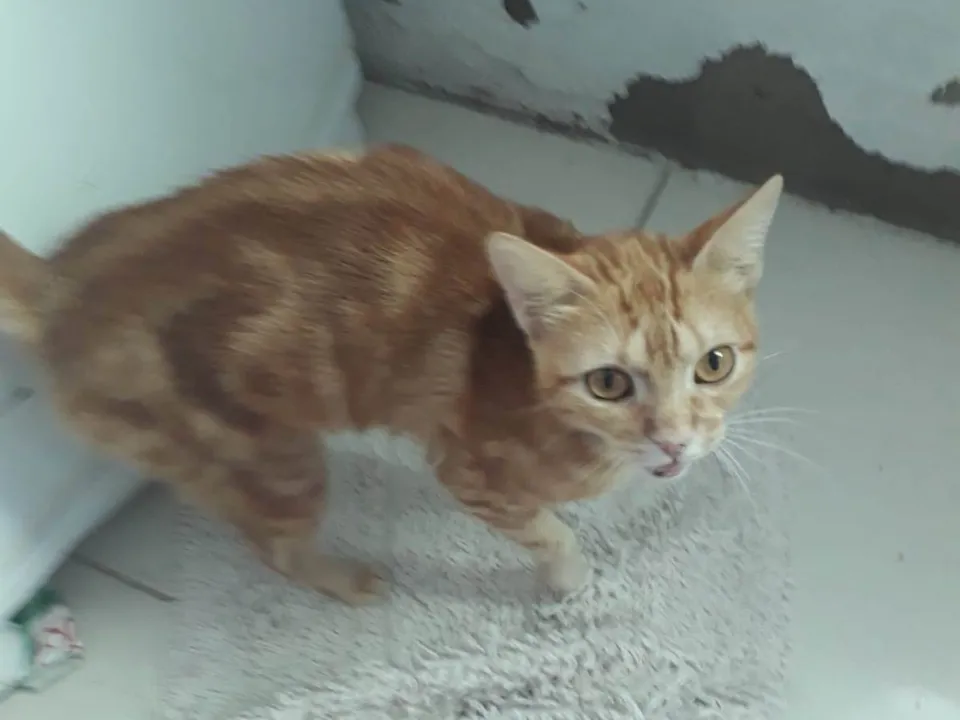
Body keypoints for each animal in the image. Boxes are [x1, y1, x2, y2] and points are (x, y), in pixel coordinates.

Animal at [0, 144, 782, 605]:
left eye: (714, 364)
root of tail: (62, 287)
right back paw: (344, 581)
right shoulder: (468, 470)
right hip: (273, 457)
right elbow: (548, 530)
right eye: (609, 383)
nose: (675, 441)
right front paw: (567, 580)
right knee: (272, 545)